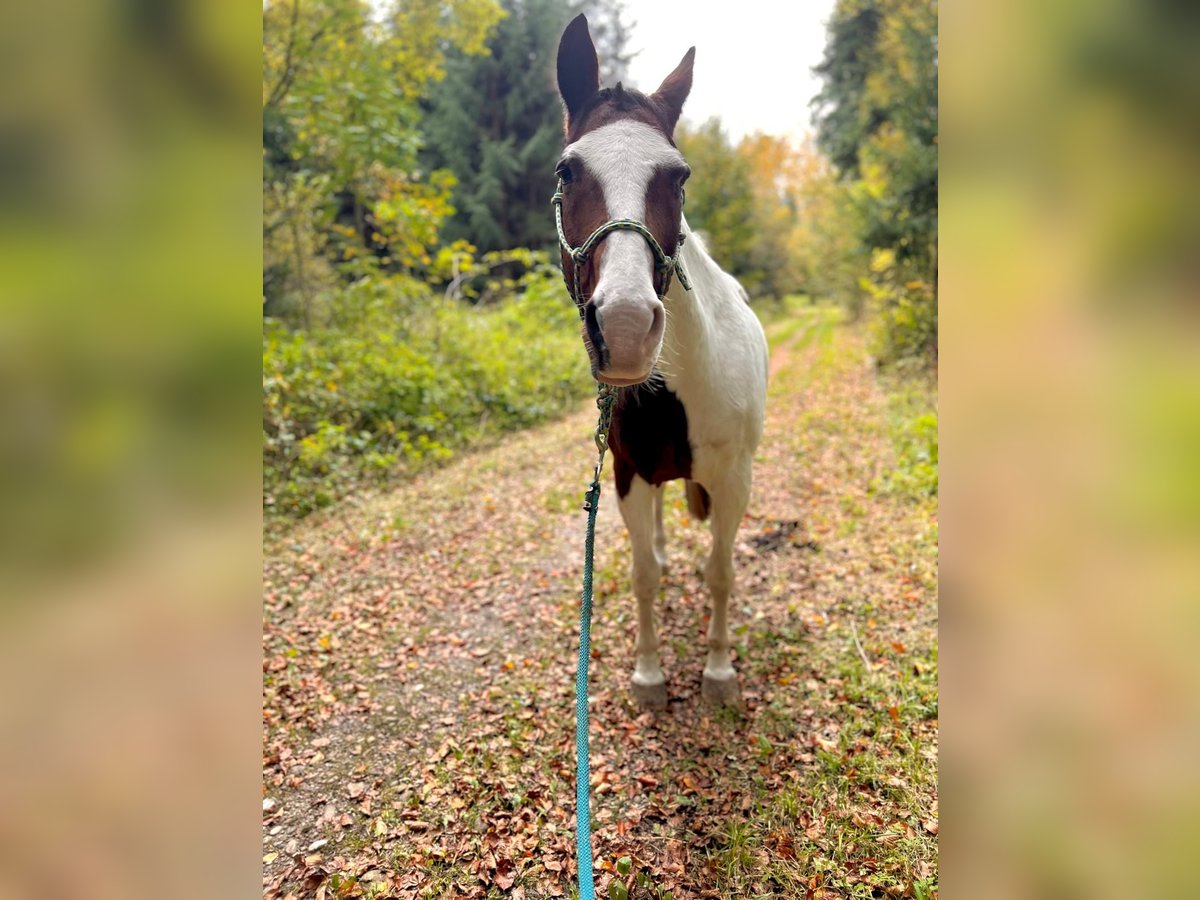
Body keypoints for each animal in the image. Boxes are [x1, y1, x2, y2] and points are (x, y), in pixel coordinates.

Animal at [552, 10, 768, 710]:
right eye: (567, 171)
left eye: (679, 176)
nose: (623, 327)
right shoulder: (628, 476)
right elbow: (643, 574)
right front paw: (648, 676)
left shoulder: (733, 480)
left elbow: (721, 571)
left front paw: (719, 671)